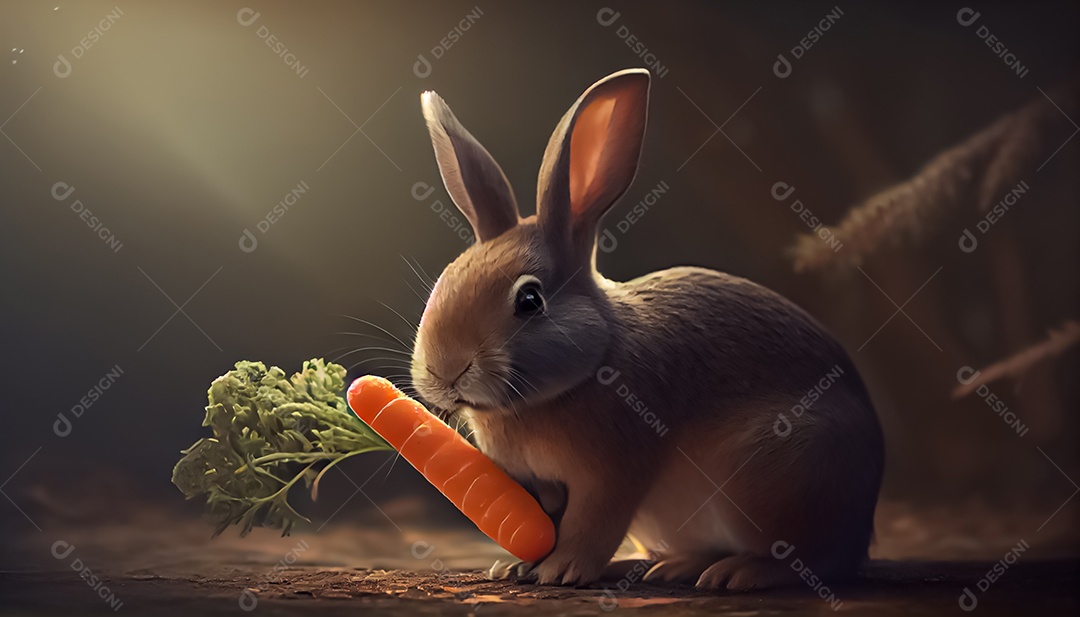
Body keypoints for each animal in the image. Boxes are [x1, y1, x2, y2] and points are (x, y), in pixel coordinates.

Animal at [409, 67, 884, 592]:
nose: (445, 372)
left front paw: (561, 570)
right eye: (444, 282)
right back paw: (665, 566)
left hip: (786, 475)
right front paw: (514, 566)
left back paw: (738, 573)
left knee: (813, 560)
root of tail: (863, 525)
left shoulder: (613, 473)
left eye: (529, 300)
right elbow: (543, 523)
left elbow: (591, 523)